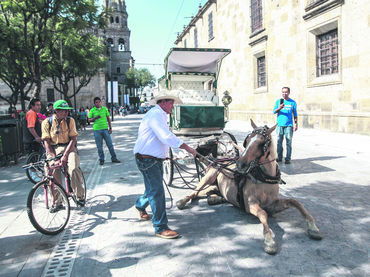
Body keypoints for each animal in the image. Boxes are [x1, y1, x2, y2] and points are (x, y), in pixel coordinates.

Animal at [176, 119, 320, 253]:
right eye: (248, 140)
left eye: (262, 143)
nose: (240, 164)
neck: (264, 179)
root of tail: (218, 160)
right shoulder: (250, 204)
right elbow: (262, 213)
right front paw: (269, 241)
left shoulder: (272, 205)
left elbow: (295, 202)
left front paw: (313, 228)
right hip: (208, 176)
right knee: (195, 192)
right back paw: (182, 201)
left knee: (208, 190)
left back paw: (215, 198)